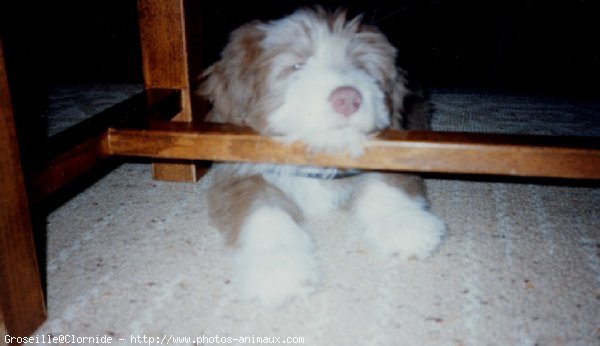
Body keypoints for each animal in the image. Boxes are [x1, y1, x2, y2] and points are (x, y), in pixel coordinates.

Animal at [199, 7, 442, 306]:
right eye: (296, 66)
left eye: (362, 67)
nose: (347, 98)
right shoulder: (239, 171)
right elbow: (263, 207)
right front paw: (278, 268)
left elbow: (383, 181)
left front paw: (405, 225)